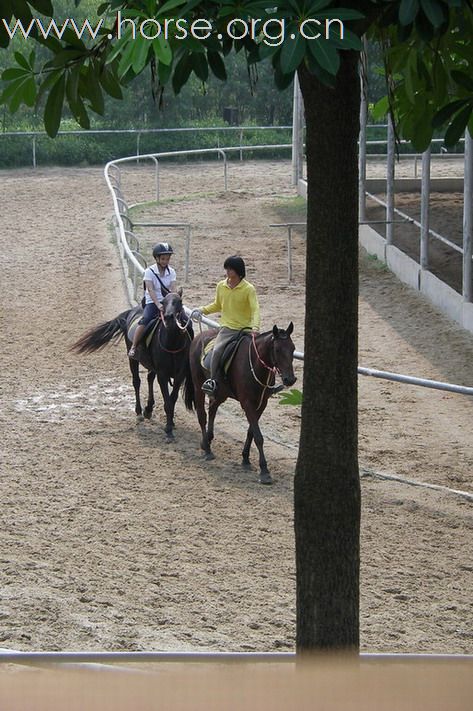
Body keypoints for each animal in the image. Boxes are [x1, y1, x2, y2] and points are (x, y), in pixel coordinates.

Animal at [71, 290, 192, 440]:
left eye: (179, 301)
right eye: (163, 302)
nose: (169, 317)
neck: (172, 344)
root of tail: (130, 312)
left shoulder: (180, 374)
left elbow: (172, 399)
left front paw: (171, 423)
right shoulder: (163, 375)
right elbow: (168, 402)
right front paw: (168, 430)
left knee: (149, 379)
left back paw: (148, 409)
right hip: (132, 359)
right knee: (137, 382)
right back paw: (139, 412)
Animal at [187, 326, 296, 486]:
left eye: (293, 349)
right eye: (277, 350)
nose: (290, 379)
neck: (255, 366)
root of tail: (200, 336)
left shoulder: (261, 404)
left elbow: (251, 432)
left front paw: (245, 459)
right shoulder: (247, 404)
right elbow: (258, 437)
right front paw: (264, 471)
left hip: (222, 392)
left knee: (212, 408)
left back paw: (207, 439)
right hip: (198, 386)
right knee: (202, 415)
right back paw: (207, 450)